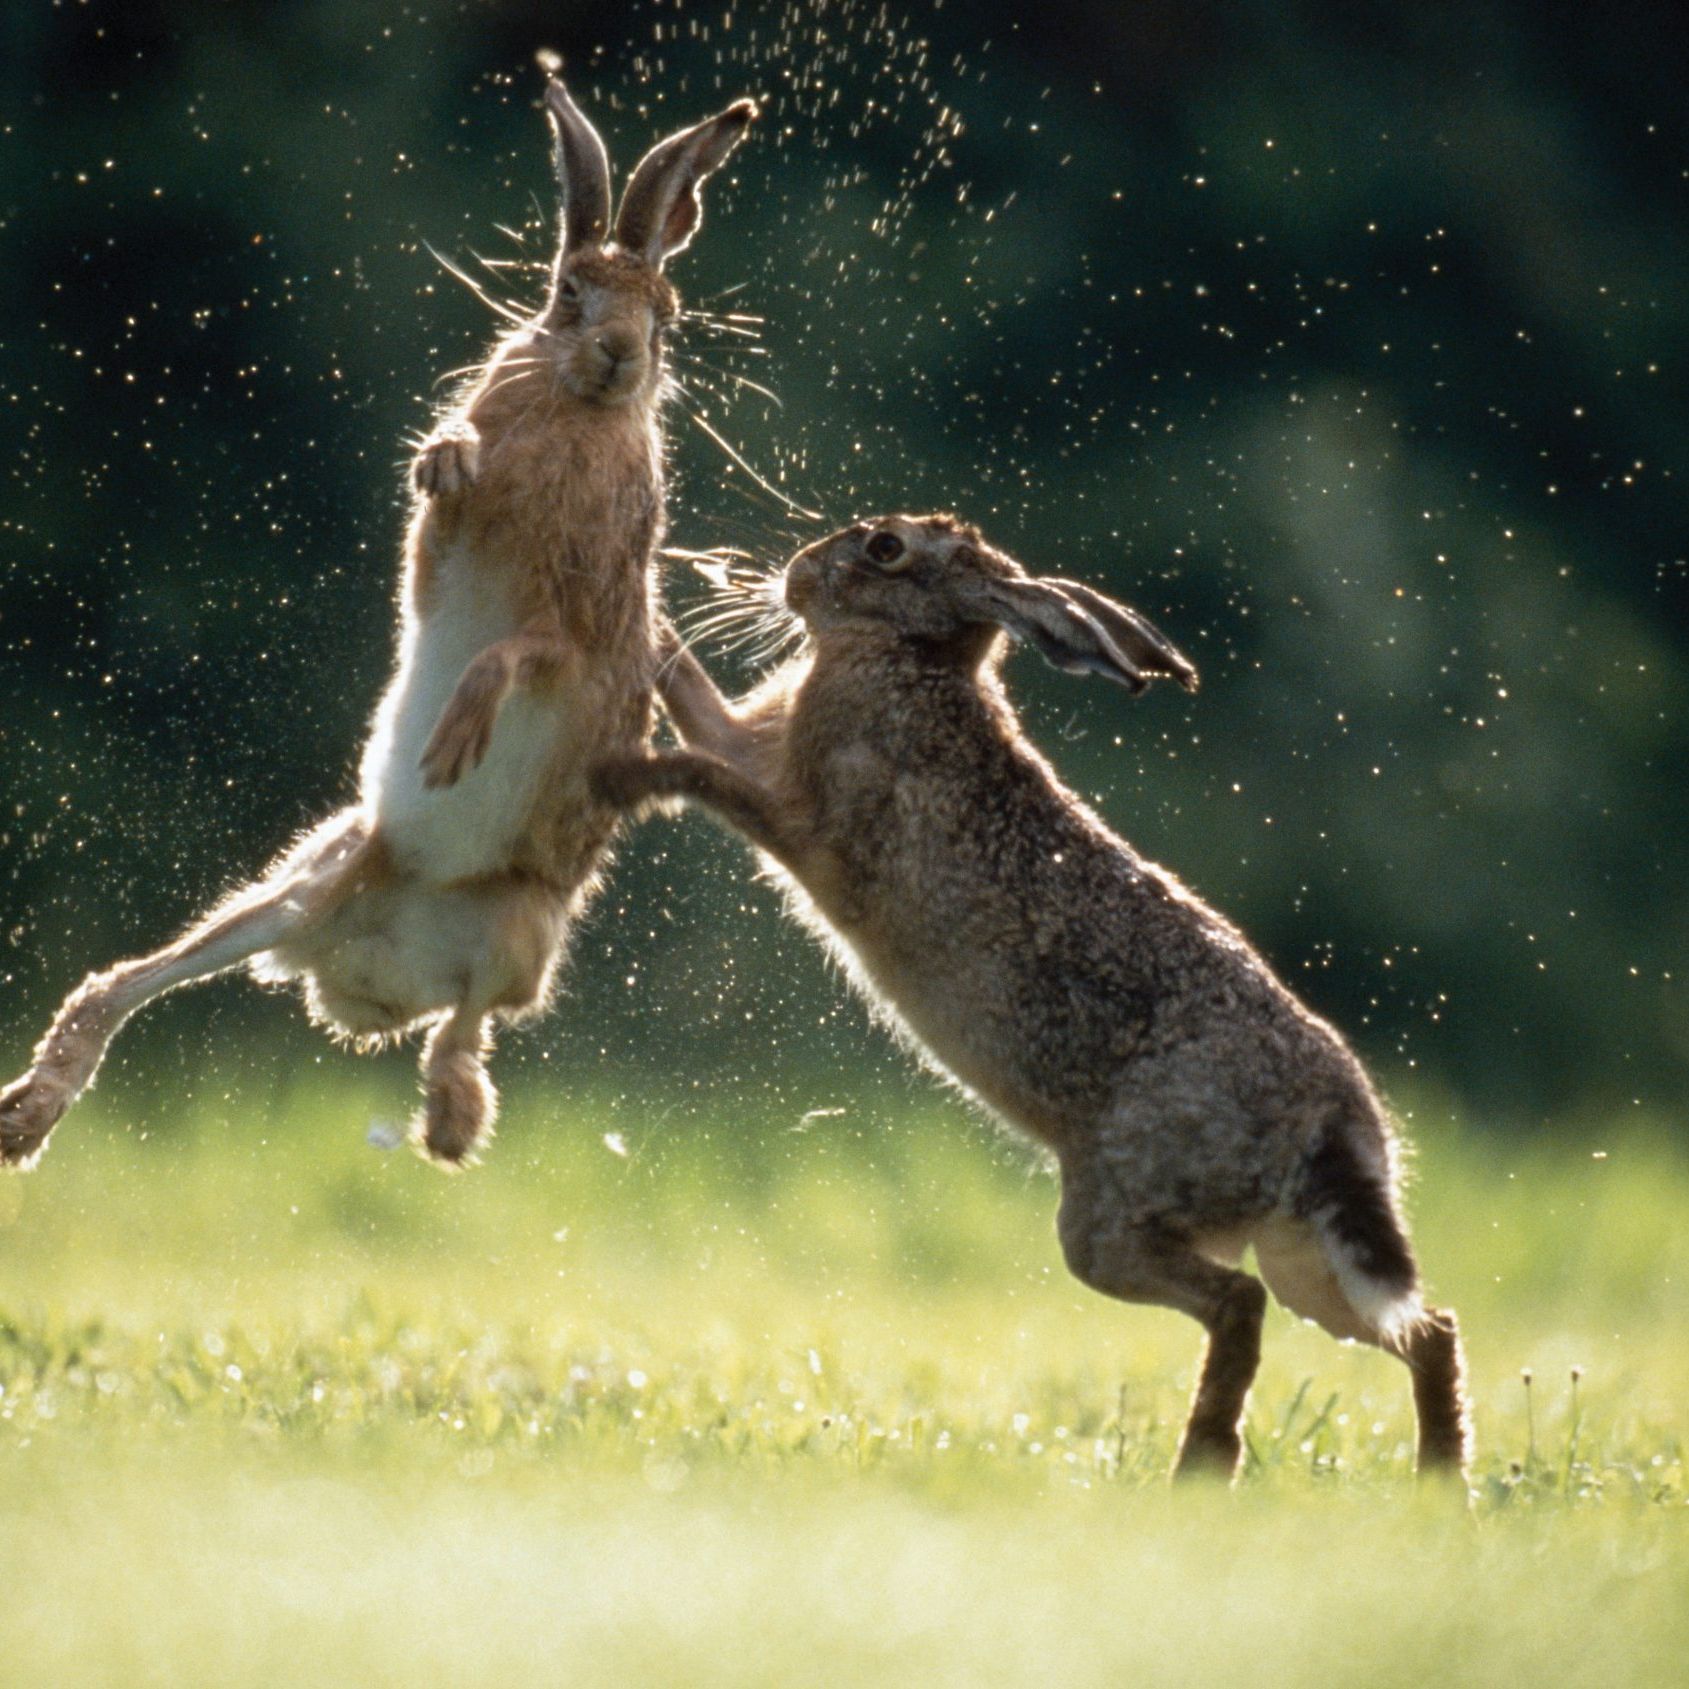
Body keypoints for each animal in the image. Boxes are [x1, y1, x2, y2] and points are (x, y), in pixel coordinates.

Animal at [0, 73, 756, 1172]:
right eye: (566, 293)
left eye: (667, 313)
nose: (620, 357)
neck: (578, 409)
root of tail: (365, 982)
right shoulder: (438, 563)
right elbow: (442, 533)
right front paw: (447, 456)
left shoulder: (584, 625)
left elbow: (516, 651)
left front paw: (455, 742)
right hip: (304, 885)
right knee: (131, 982)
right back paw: (30, 1113)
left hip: (520, 935)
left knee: (468, 1025)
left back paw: (447, 1119)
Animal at [593, 514, 1470, 1482]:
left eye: (886, 548)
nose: (797, 573)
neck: (914, 660)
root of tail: (1328, 1123)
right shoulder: (753, 737)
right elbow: (696, 701)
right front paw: (649, 622)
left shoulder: (810, 825)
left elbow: (709, 777)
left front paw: (622, 776)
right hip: (1305, 1254)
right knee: (1422, 1327)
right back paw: (1442, 1481)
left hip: (1109, 1222)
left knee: (1238, 1305)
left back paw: (1199, 1470)